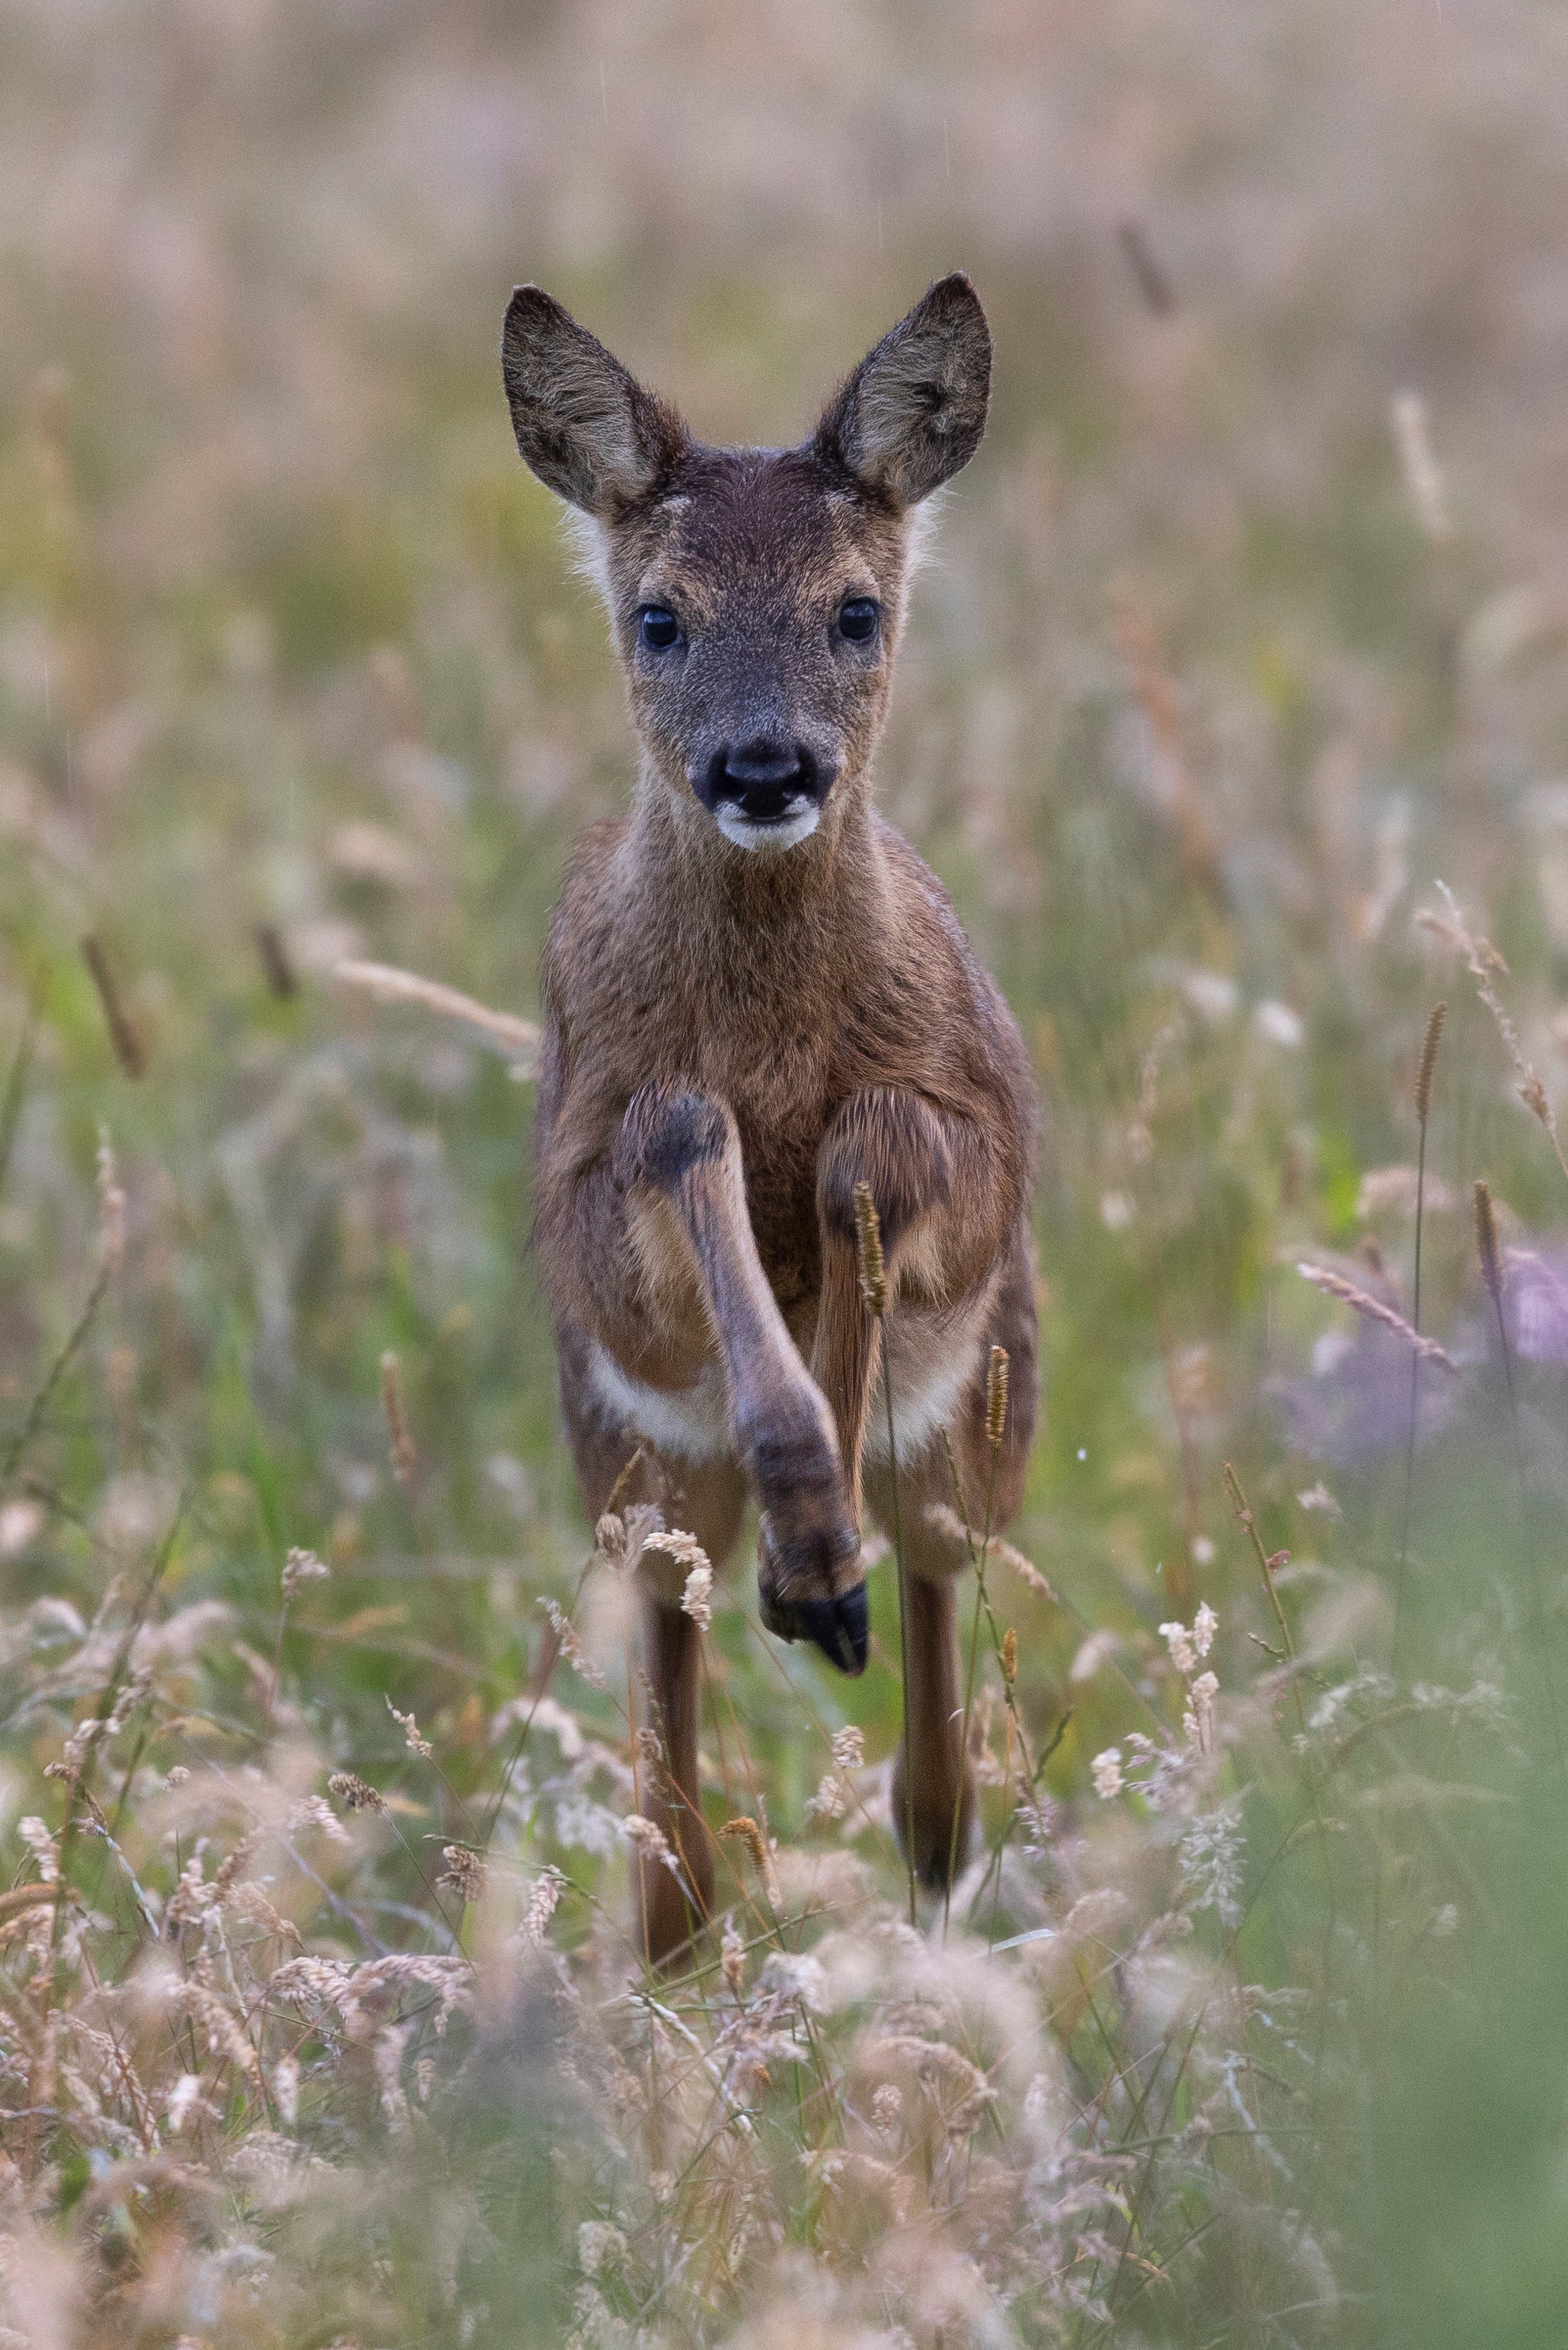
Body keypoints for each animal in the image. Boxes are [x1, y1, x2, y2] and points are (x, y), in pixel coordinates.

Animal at [505, 274, 1043, 1965]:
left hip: (990, 1414)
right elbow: (682, 1136)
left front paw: (823, 1553)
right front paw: (808, 1526)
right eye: (658, 615)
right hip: (625, 1469)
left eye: (854, 610)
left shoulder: (982, 1144)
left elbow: (874, 1151)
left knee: (937, 1696)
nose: (761, 766)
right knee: (669, 1780)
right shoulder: (590, 1193)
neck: (773, 1038)